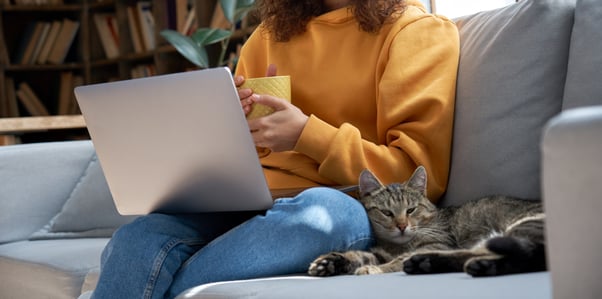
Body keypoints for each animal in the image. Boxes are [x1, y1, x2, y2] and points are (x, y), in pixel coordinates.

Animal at [308, 166, 548, 276]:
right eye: (387, 213)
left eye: (411, 210)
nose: (402, 226)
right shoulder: (380, 252)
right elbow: (360, 254)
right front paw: (330, 262)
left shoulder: (439, 243)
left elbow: (394, 262)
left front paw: (374, 269)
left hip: (521, 226)